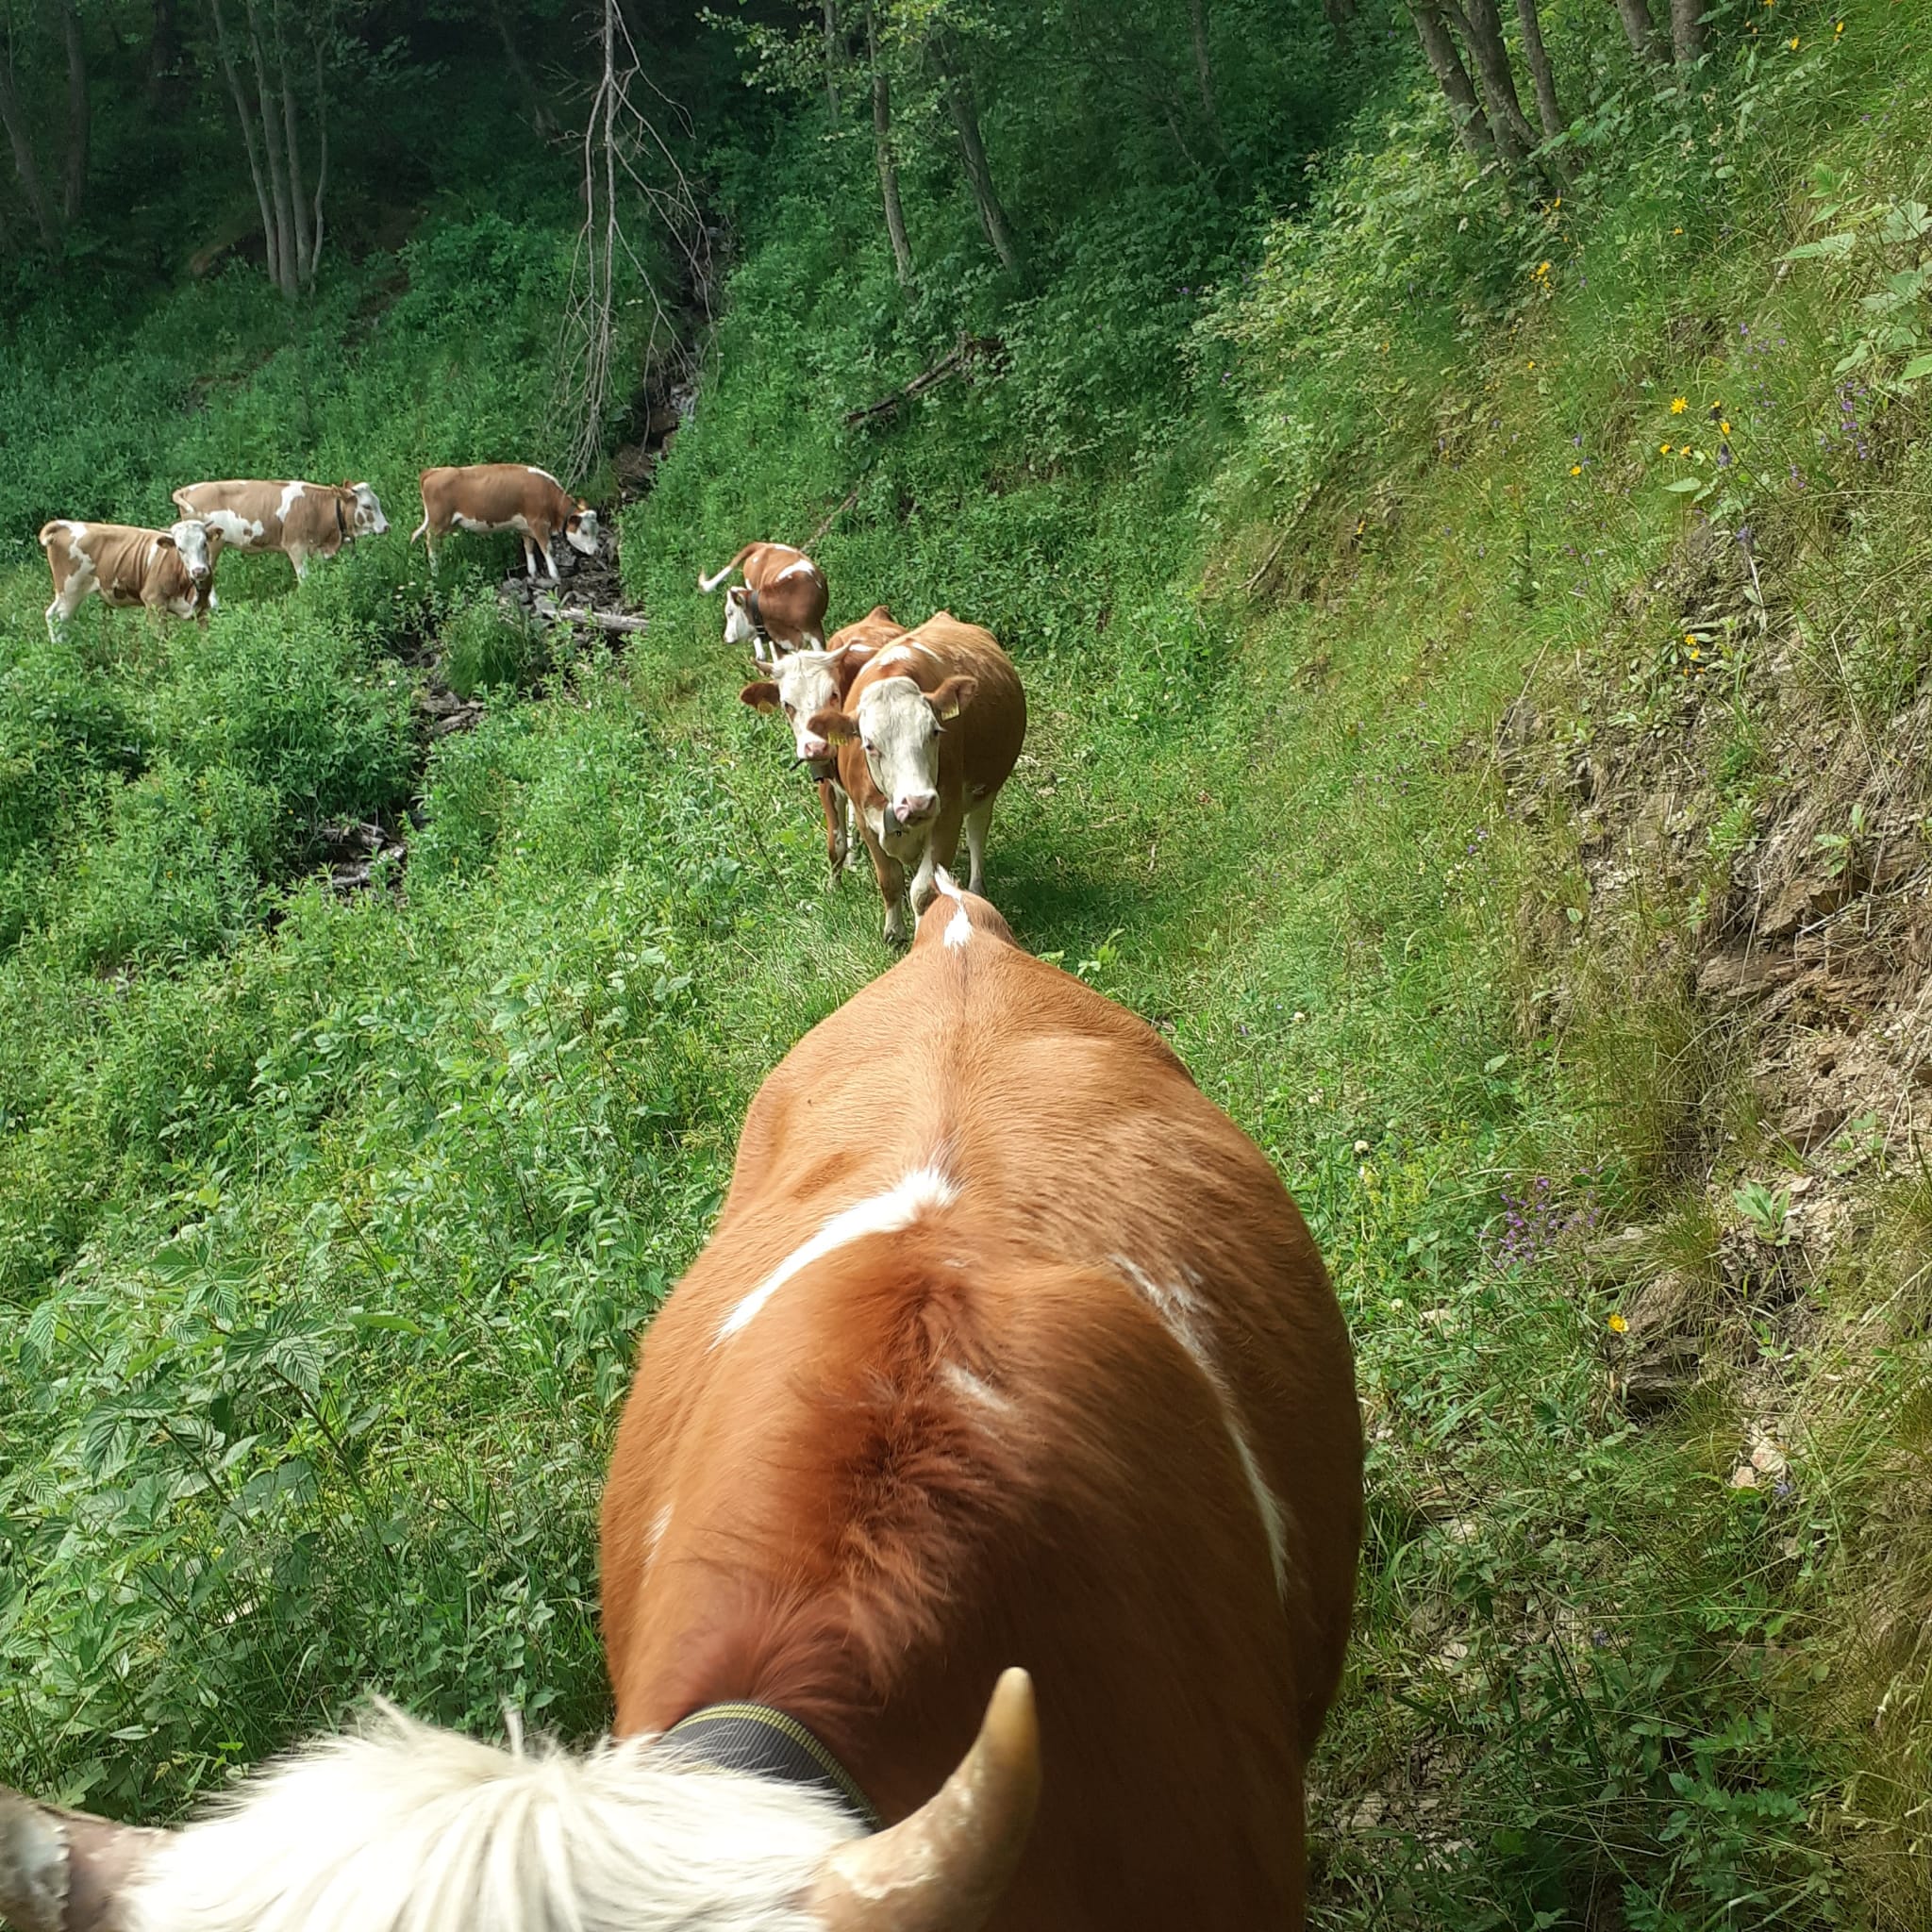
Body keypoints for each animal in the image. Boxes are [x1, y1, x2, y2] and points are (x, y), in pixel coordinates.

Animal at [37, 518, 221, 636]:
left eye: (204, 543)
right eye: (180, 548)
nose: (199, 570)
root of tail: (64, 524)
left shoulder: (203, 609)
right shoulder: (153, 601)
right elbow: (161, 639)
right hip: (70, 589)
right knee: (57, 617)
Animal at [411, 465, 601, 580]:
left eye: (596, 530)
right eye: (584, 531)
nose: (596, 551)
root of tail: (433, 471)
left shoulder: (526, 527)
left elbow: (528, 548)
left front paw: (533, 573)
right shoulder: (538, 523)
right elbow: (547, 548)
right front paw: (555, 575)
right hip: (438, 523)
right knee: (431, 545)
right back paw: (436, 573)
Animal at [740, 604, 906, 879]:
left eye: (833, 695)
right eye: (787, 705)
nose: (816, 747)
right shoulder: (823, 776)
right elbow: (834, 846)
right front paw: (835, 884)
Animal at [806, 613, 1026, 944]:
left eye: (934, 731)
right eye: (870, 744)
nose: (918, 802)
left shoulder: (947, 818)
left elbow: (923, 891)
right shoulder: (864, 820)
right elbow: (889, 880)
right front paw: (893, 932)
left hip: (983, 793)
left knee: (977, 835)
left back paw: (976, 887)